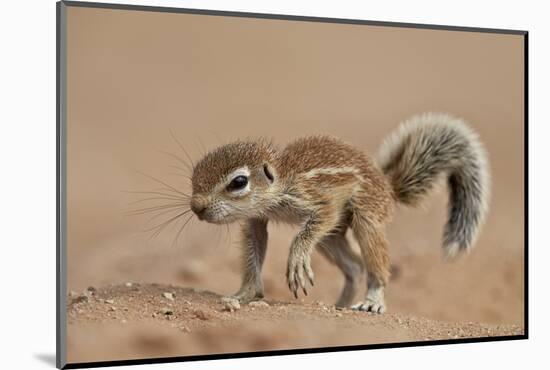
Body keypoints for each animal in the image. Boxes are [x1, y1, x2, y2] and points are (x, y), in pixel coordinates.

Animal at [188, 112, 490, 312]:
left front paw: (296, 260)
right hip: (331, 239)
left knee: (374, 264)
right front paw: (244, 294)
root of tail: (389, 188)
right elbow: (255, 248)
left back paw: (372, 301)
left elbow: (312, 225)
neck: (282, 180)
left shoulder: (318, 200)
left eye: (239, 182)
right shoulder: (256, 219)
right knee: (355, 266)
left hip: (366, 216)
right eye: (194, 174)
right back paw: (340, 305)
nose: (196, 207)